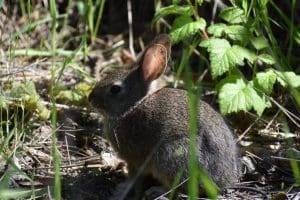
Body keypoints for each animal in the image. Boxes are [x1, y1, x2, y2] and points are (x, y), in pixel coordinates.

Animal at [88, 34, 239, 197]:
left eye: (115, 89)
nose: (90, 99)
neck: (132, 107)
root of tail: (224, 180)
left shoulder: (135, 159)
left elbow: (133, 176)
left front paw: (122, 188)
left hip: (172, 155)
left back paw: (156, 190)